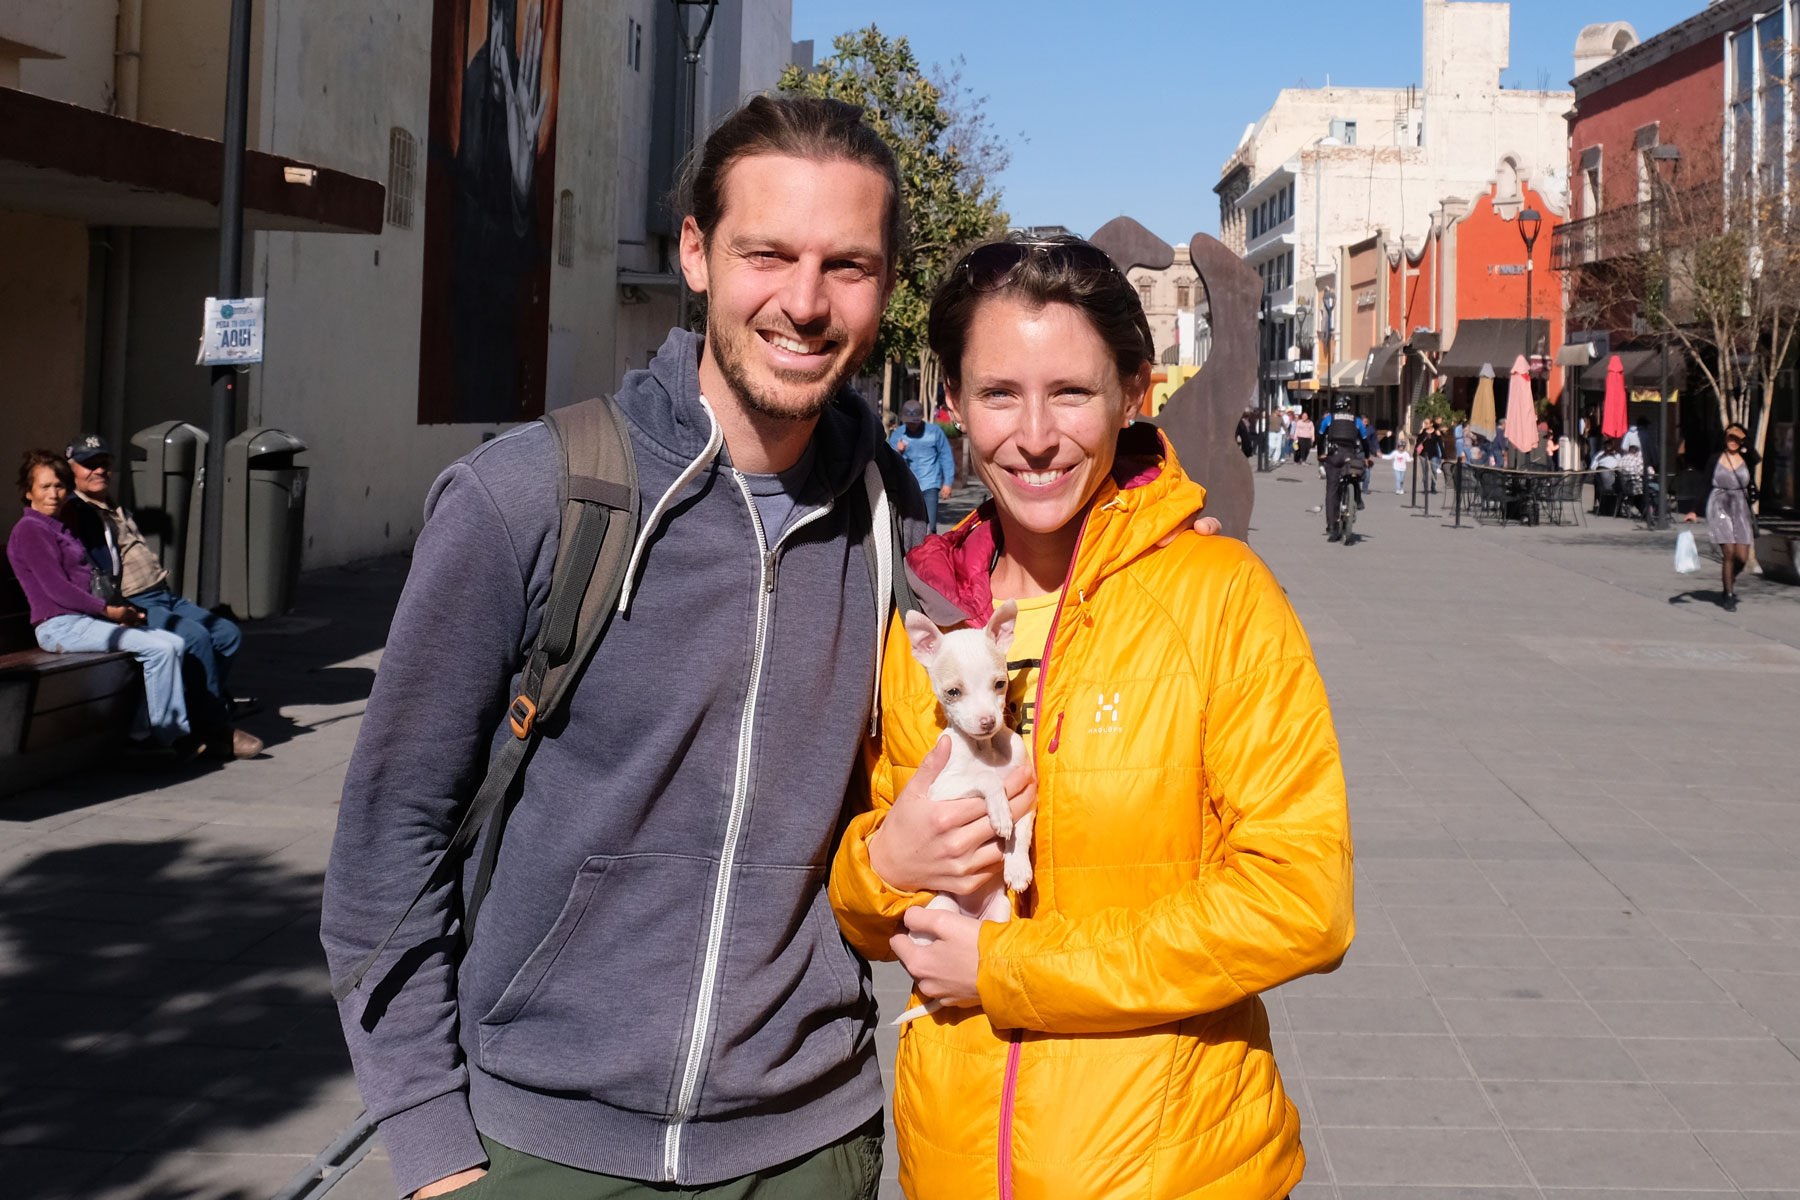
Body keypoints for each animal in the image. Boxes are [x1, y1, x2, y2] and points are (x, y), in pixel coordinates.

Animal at [892, 600, 1036, 1021]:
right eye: (953, 692)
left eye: (1000, 684)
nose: (988, 721)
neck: (985, 751)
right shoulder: (938, 792)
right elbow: (986, 781)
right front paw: (999, 812)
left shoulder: (1027, 792)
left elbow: (1022, 833)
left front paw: (1017, 867)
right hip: (939, 907)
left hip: (1000, 913)